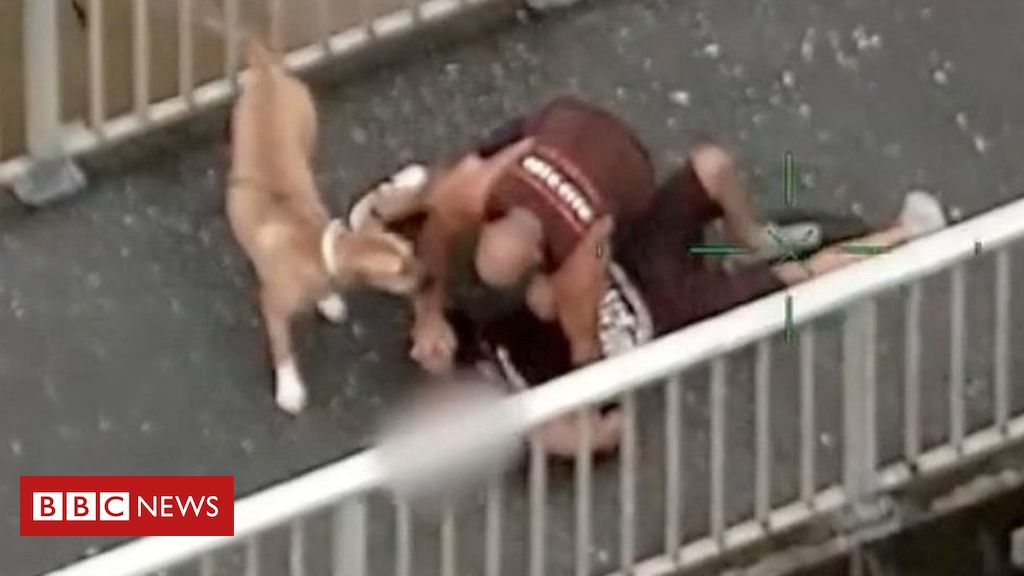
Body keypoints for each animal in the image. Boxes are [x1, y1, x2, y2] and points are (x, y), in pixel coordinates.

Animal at [229, 42, 423, 414]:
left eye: (410, 254)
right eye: (400, 272)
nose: (428, 279)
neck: (318, 250)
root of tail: (266, 70)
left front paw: (328, 301)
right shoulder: (272, 306)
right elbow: (282, 347)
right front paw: (289, 387)